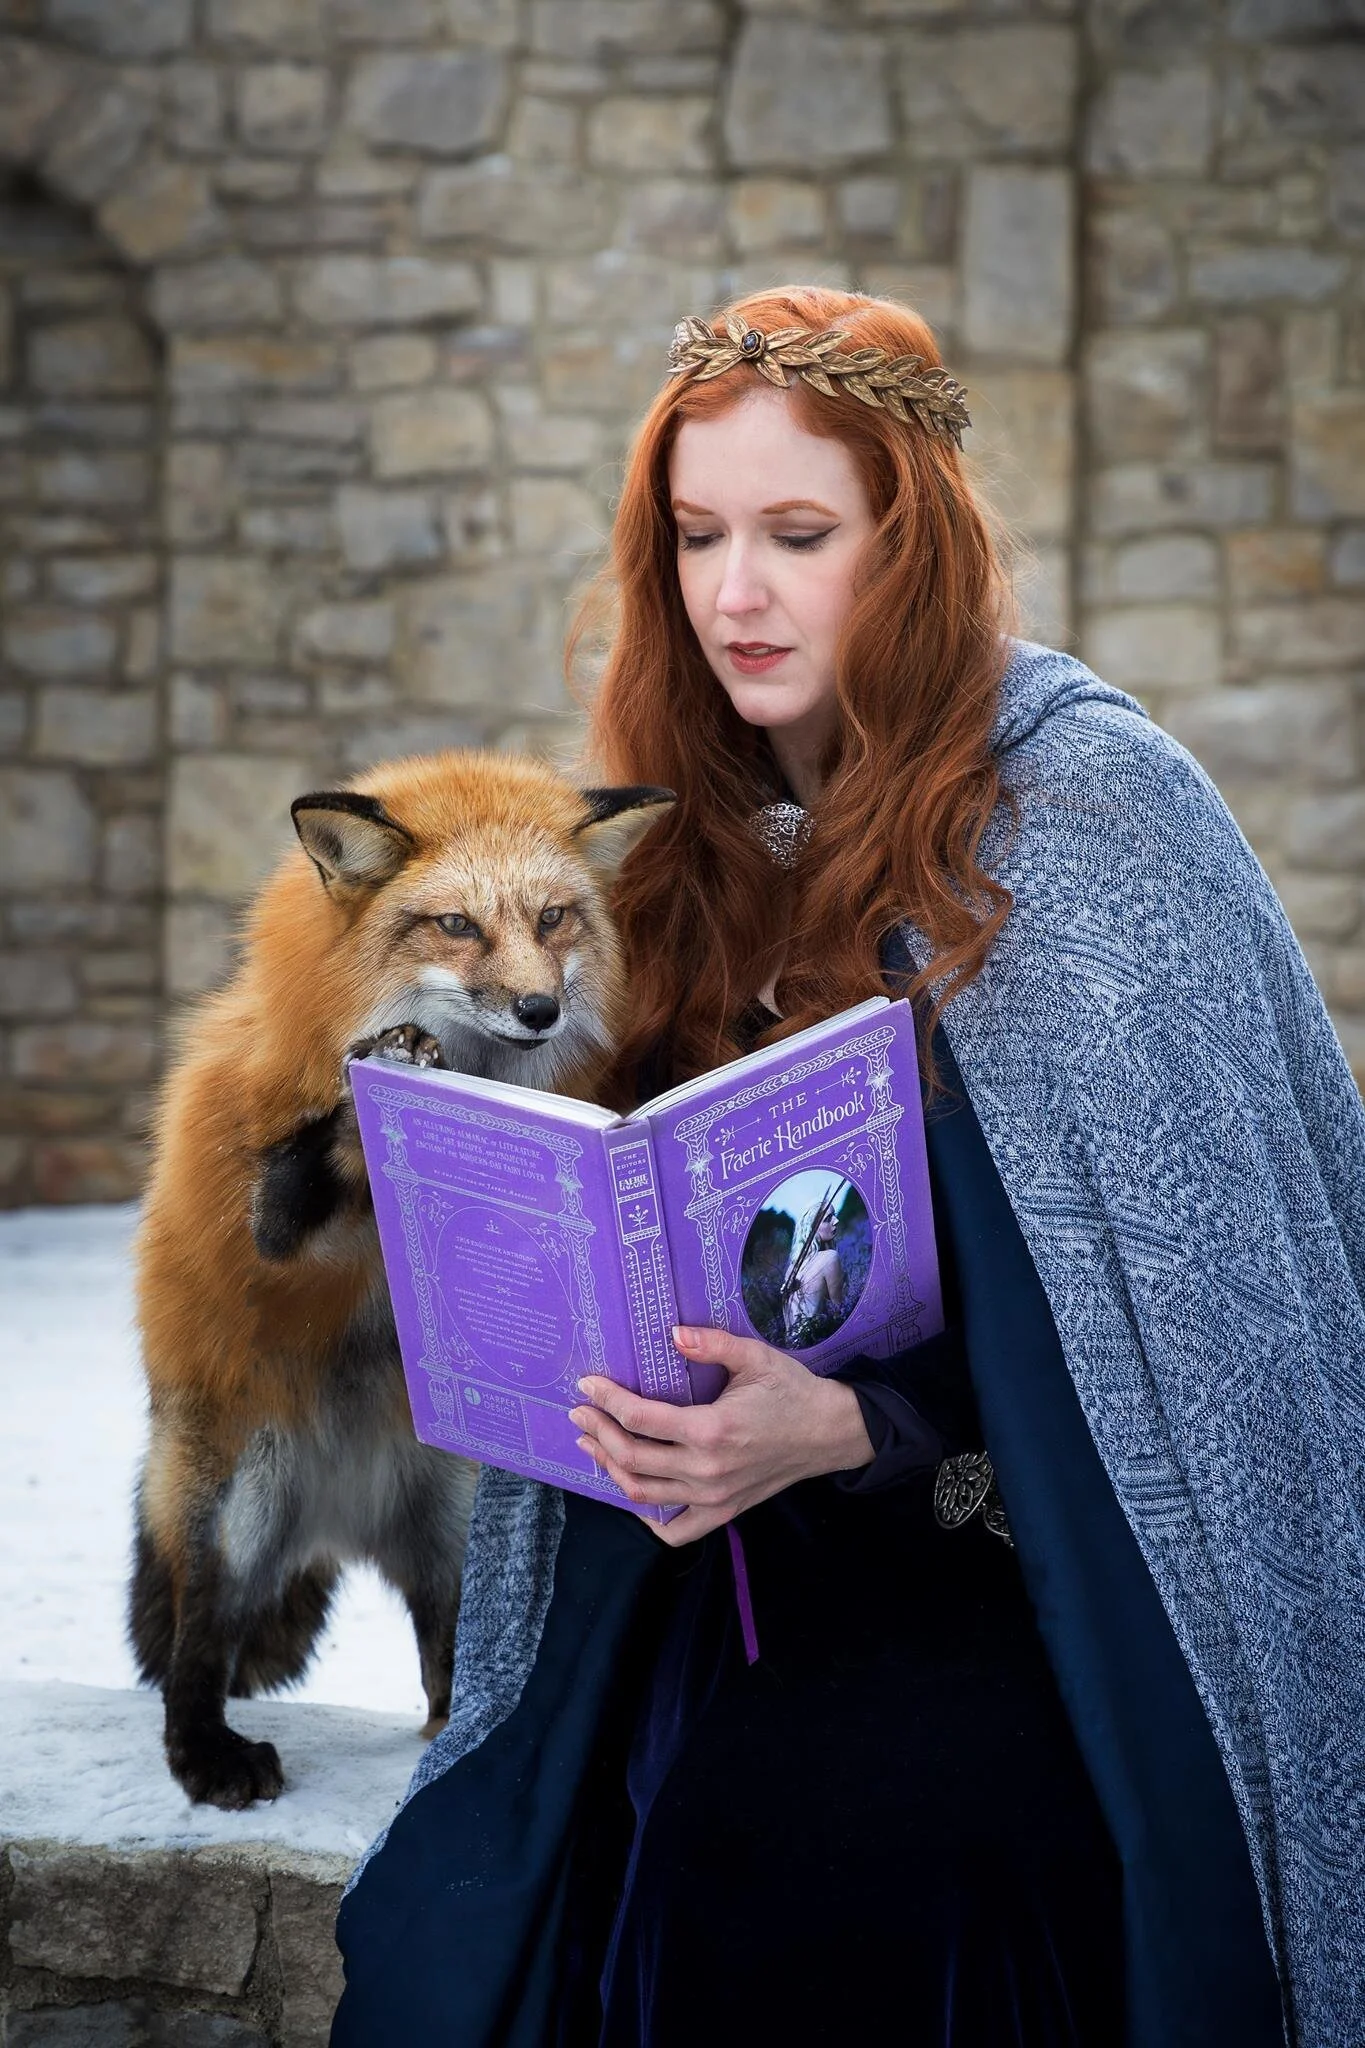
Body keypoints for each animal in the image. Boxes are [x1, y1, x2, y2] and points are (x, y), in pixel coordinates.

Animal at [130, 750, 671, 1809]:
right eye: (456, 924)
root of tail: (339, 1521)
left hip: (459, 1522)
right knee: (195, 1648)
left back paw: (453, 1737)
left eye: (553, 917)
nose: (539, 1009)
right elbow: (304, 1168)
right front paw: (373, 1078)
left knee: (446, 1660)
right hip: (237, 1504)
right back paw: (209, 1757)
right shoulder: (275, 1224)